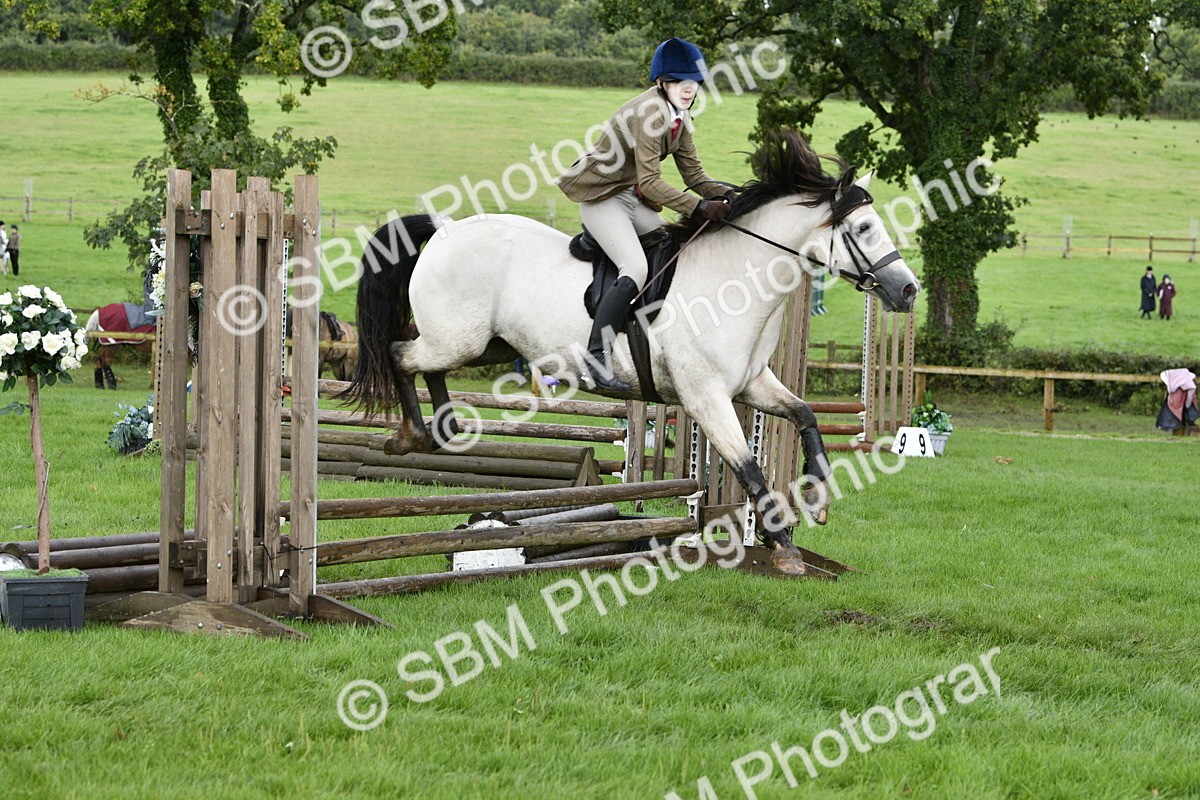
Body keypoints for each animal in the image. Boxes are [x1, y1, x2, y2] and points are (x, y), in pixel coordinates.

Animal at [344, 132, 920, 574]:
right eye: (863, 228)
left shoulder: (751, 384)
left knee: (426, 361)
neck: (736, 280)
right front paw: (783, 547)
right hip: (458, 338)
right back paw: (413, 435)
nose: (908, 290)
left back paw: (441, 429)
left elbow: (805, 415)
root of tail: (447, 229)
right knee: (400, 353)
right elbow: (748, 468)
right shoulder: (707, 398)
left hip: (488, 346)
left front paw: (818, 502)